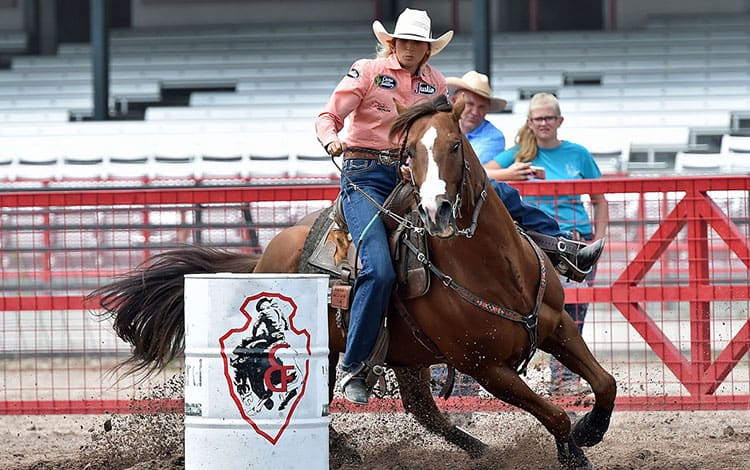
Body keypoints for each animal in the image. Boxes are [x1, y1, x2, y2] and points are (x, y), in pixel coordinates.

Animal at [89, 94, 616, 466]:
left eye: (453, 146)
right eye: (409, 153)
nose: (437, 212)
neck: (495, 270)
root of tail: (265, 257)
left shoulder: (558, 326)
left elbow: (605, 383)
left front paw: (590, 431)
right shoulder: (484, 367)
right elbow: (553, 413)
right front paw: (576, 449)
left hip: (409, 356)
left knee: (425, 412)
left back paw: (483, 453)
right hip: (325, 355)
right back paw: (344, 449)